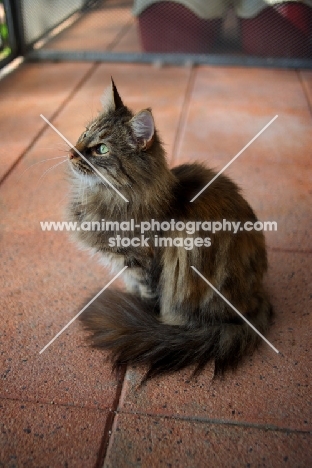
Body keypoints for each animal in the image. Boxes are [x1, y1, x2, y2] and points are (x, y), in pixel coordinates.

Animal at [67, 79, 272, 380]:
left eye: (101, 149)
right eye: (84, 133)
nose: (71, 152)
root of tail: (255, 302)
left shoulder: (142, 264)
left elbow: (147, 294)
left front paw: (140, 315)